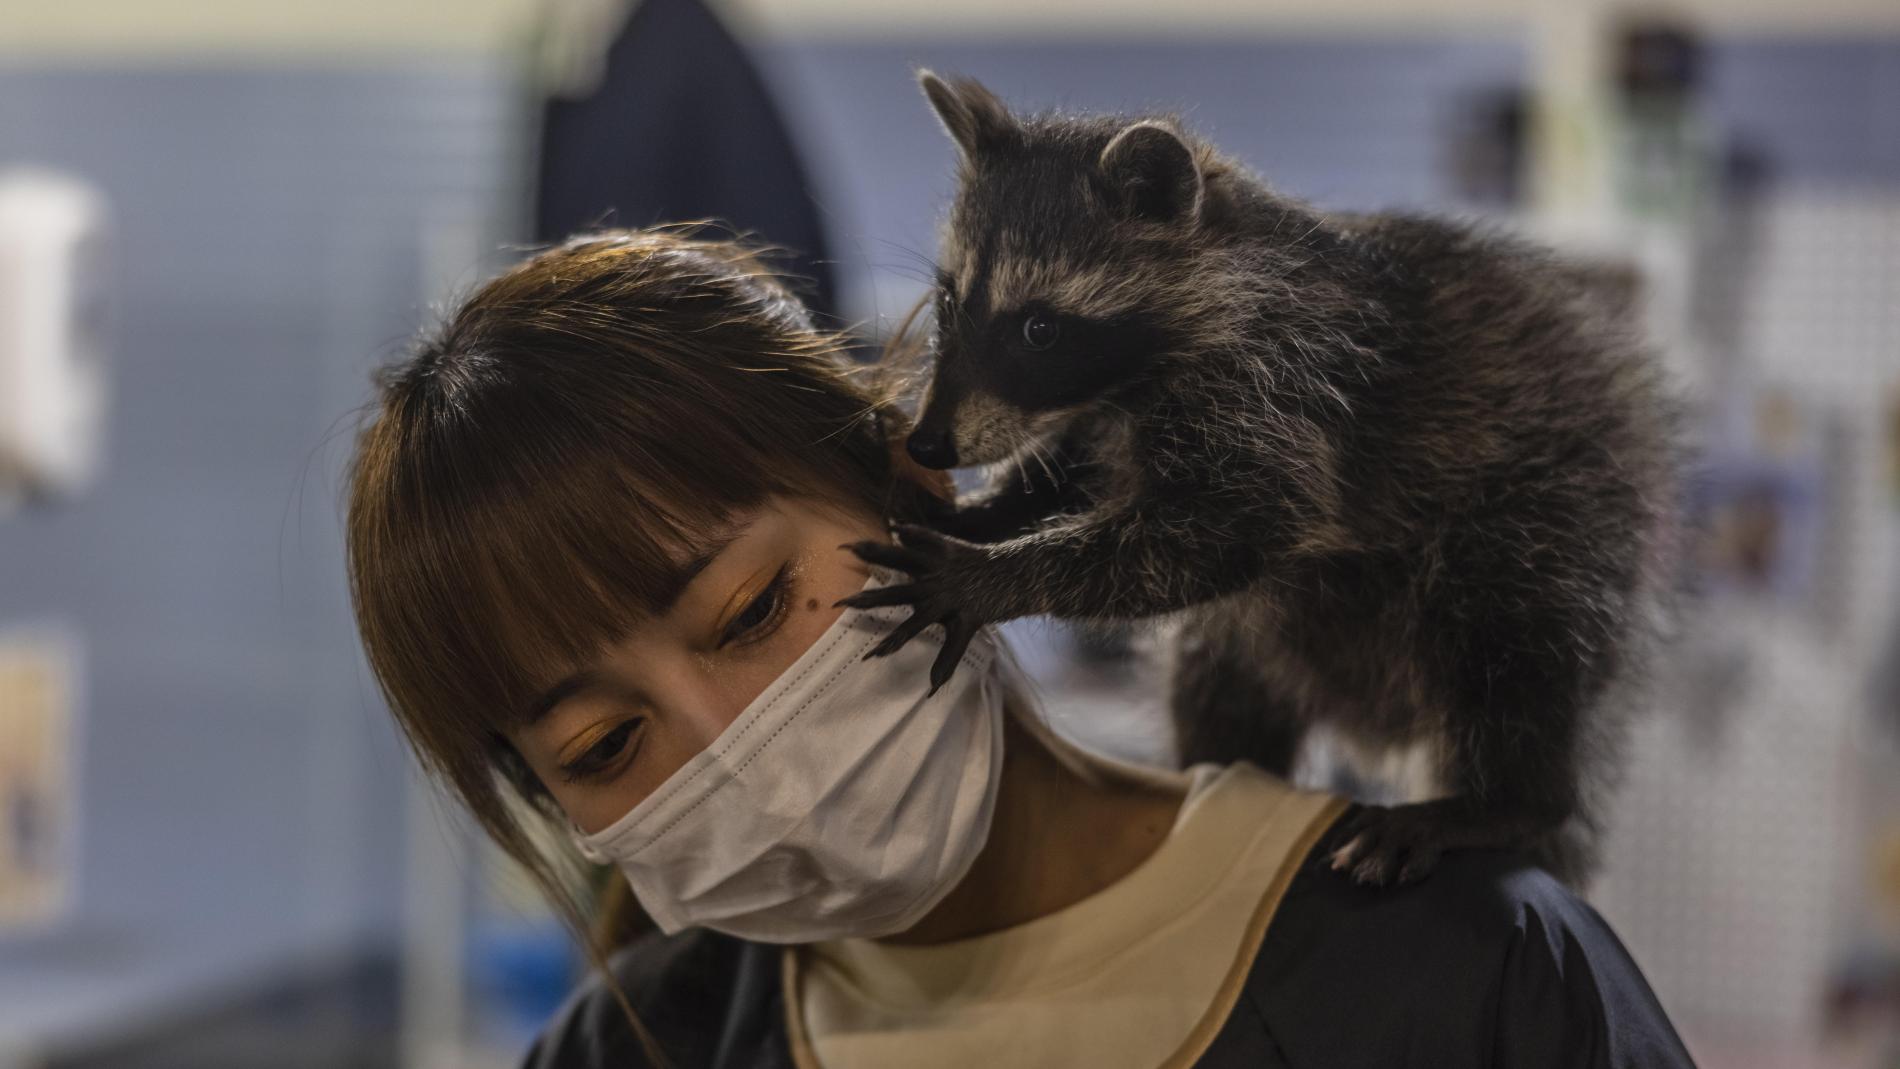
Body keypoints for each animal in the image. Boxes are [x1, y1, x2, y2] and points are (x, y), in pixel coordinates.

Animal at [839, 71, 1687, 881]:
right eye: (949, 299)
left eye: (1039, 329)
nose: (929, 444)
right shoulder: (1117, 414)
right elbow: (1072, 474)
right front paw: (981, 513)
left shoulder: (1284, 391)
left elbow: (1227, 526)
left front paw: (992, 574)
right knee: (1213, 672)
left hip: (1551, 509)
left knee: (1505, 636)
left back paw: (1504, 800)